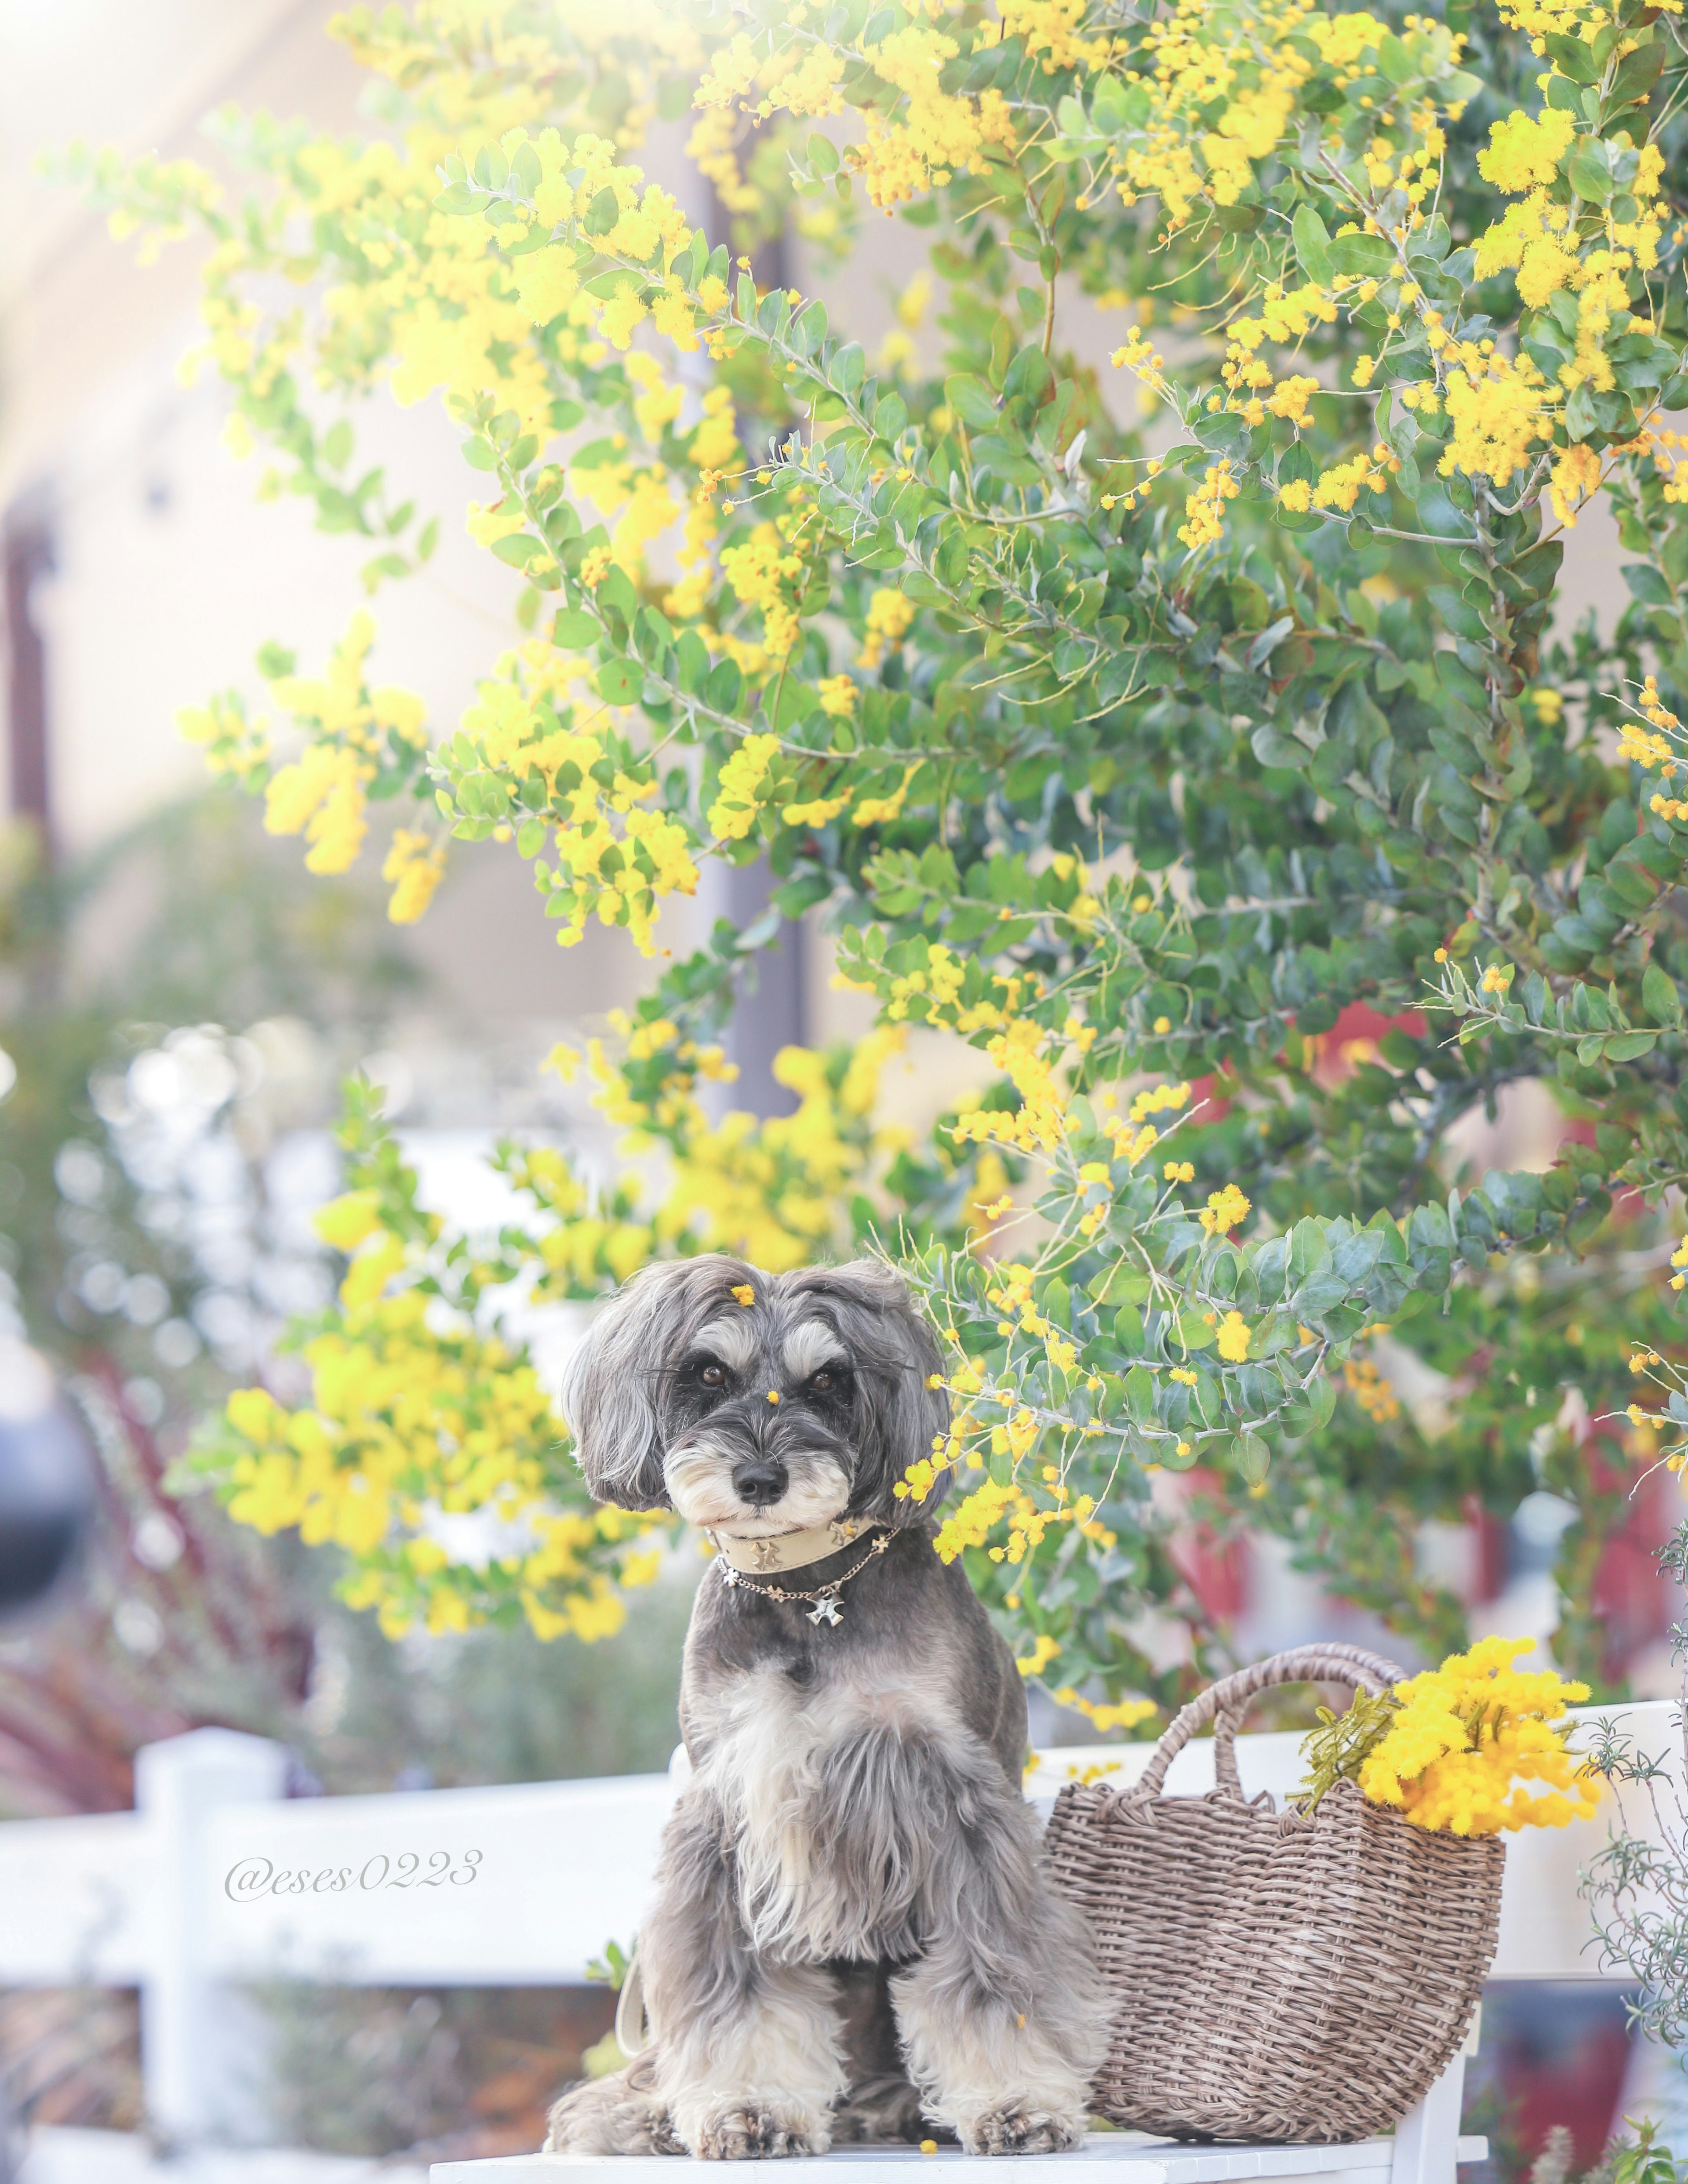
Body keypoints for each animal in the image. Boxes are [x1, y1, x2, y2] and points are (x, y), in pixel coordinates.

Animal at [546, 1258, 1113, 2158]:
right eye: (709, 1373)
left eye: (828, 1381)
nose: (760, 1481)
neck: (808, 1591)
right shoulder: (726, 1818)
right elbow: (733, 1989)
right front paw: (749, 2104)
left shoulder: (959, 1804)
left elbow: (992, 1970)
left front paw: (1016, 2099)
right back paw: (641, 2112)